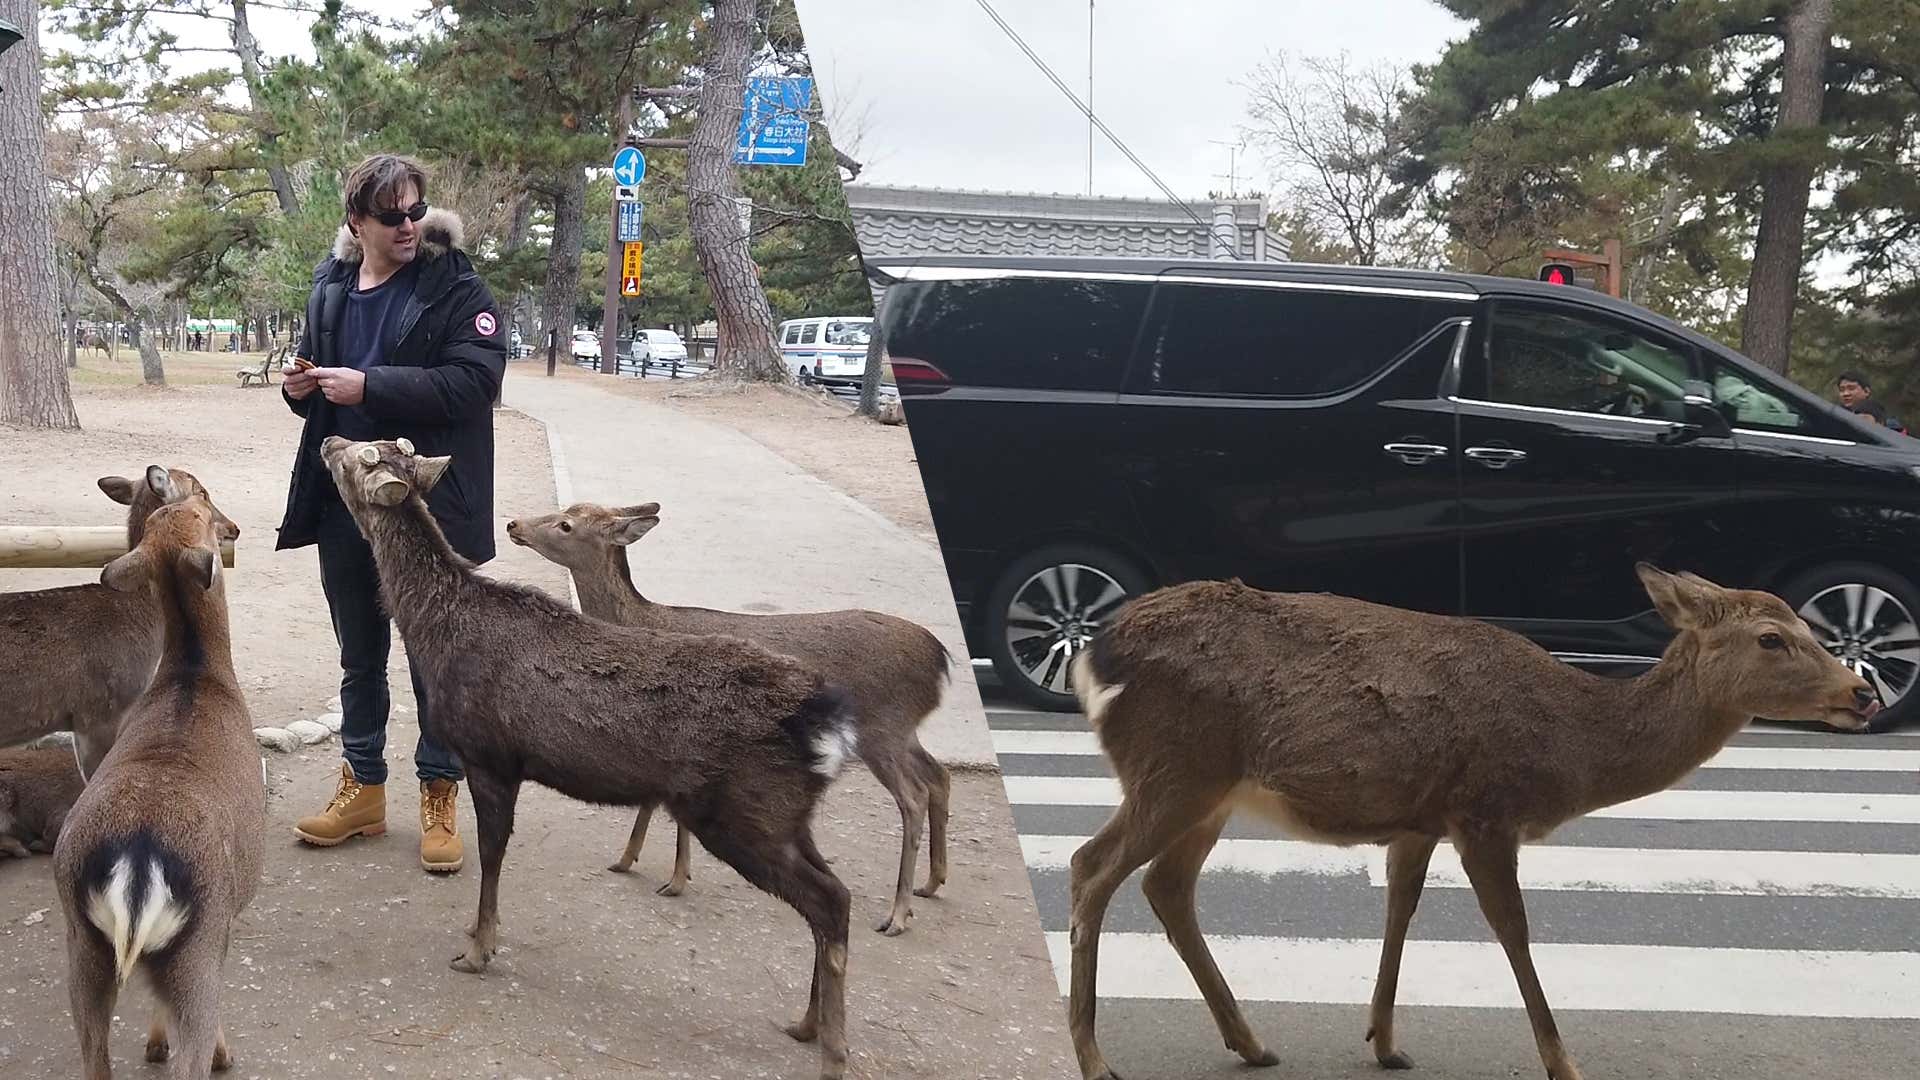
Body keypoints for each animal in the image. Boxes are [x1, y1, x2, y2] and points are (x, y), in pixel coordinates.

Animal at [52, 491, 266, 1080]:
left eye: (179, 511)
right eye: (205, 509)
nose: (231, 525)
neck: (195, 677)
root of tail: (137, 859)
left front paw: (151, 1043)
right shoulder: (227, 919)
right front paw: (179, 1046)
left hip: (83, 946)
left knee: (94, 1054)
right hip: (196, 942)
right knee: (190, 1042)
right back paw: (214, 1054)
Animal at [319, 437, 862, 1080]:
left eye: (360, 458)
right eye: (372, 446)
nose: (327, 441)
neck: (436, 634)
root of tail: (824, 723)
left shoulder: (490, 754)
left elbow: (492, 855)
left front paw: (478, 949)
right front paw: (479, 935)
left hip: (741, 813)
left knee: (828, 900)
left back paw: (833, 1051)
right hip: (785, 814)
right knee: (835, 891)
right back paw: (806, 1023)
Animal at [505, 500, 953, 935]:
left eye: (565, 524)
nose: (513, 525)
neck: (643, 625)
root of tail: (940, 659)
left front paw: (675, 877)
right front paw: (629, 858)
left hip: (882, 728)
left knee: (913, 796)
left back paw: (898, 914)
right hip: (902, 731)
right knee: (938, 775)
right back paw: (931, 882)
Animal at [1062, 567, 1881, 1080]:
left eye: (1806, 625)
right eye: (1773, 637)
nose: (1864, 693)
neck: (1575, 745)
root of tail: (1094, 656)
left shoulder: (1422, 818)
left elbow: (1401, 908)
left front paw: (1386, 1042)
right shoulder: (1488, 809)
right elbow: (1513, 928)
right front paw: (1564, 1063)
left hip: (1211, 793)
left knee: (1166, 886)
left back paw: (1252, 1043)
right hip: (1175, 767)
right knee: (1090, 866)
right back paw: (1095, 1058)